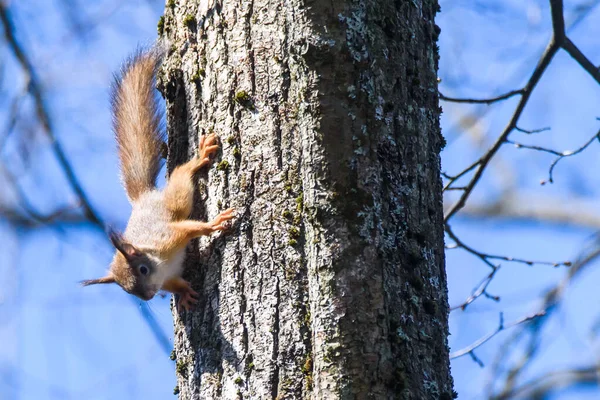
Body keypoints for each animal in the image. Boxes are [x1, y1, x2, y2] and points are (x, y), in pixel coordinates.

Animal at [81, 46, 236, 310]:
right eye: (127, 290)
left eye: (143, 269)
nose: (149, 296)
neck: (161, 265)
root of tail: (143, 198)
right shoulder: (168, 278)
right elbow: (177, 284)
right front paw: (185, 294)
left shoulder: (170, 237)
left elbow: (193, 228)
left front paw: (214, 223)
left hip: (175, 199)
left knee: (182, 175)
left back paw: (199, 157)